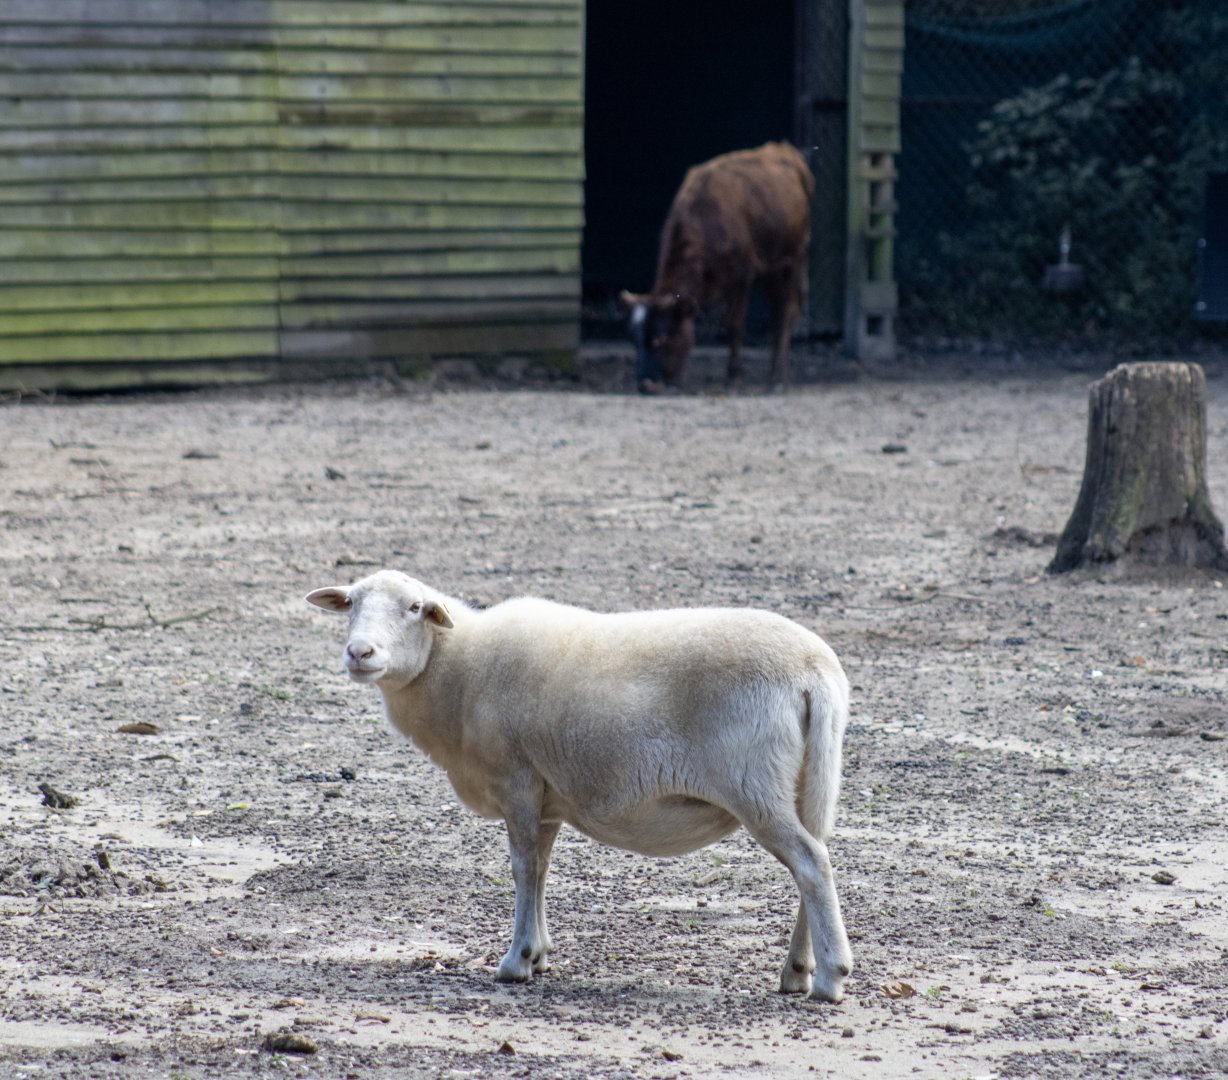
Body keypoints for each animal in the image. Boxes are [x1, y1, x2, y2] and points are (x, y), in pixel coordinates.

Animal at [305, 569, 854, 1002]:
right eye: (351, 603)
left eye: (415, 608)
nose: (359, 652)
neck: (458, 672)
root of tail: (815, 674)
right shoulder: (547, 797)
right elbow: (541, 870)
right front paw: (541, 953)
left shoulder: (517, 779)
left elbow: (522, 868)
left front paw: (517, 960)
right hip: (805, 783)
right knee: (813, 863)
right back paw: (797, 972)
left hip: (753, 784)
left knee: (811, 863)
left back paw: (830, 978)